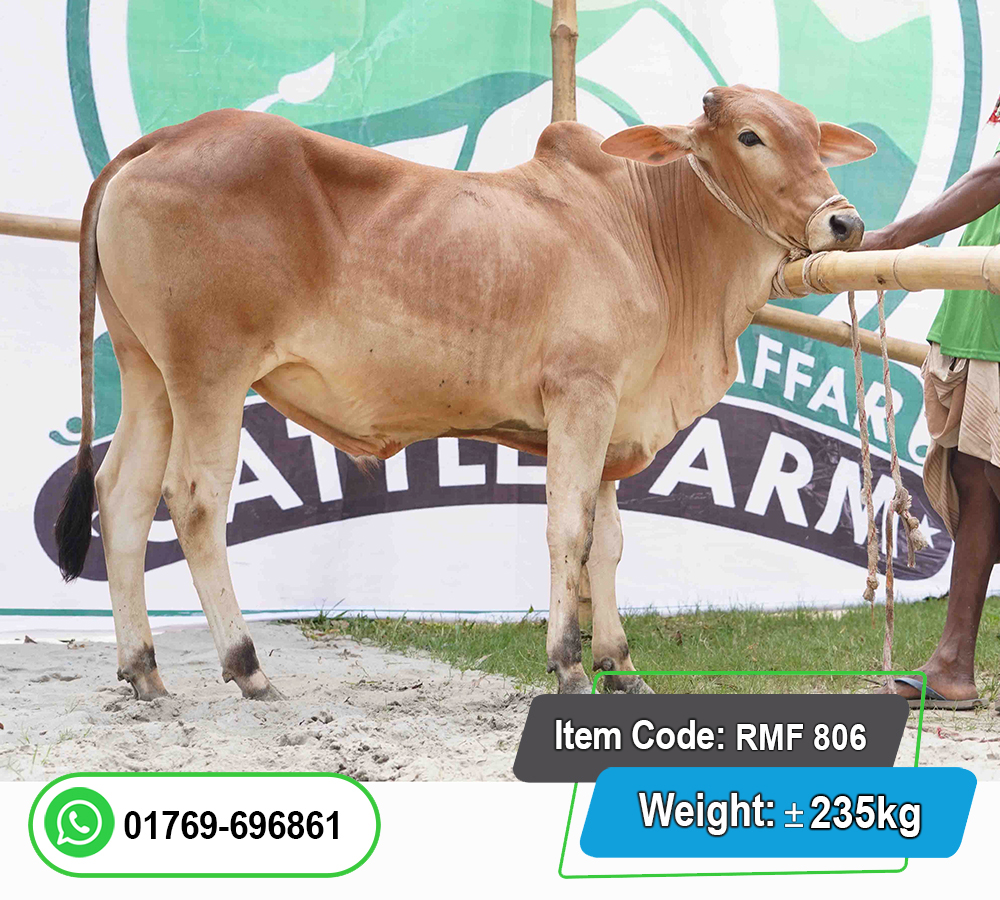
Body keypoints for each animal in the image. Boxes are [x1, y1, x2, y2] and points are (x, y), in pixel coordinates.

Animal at [55, 84, 874, 700]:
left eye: (812, 135)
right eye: (750, 136)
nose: (845, 220)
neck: (648, 230)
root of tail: (165, 138)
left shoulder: (616, 416)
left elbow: (607, 544)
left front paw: (620, 663)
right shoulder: (582, 397)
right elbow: (569, 532)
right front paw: (568, 663)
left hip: (148, 373)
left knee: (122, 495)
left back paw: (144, 671)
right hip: (210, 373)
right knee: (193, 500)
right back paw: (246, 667)